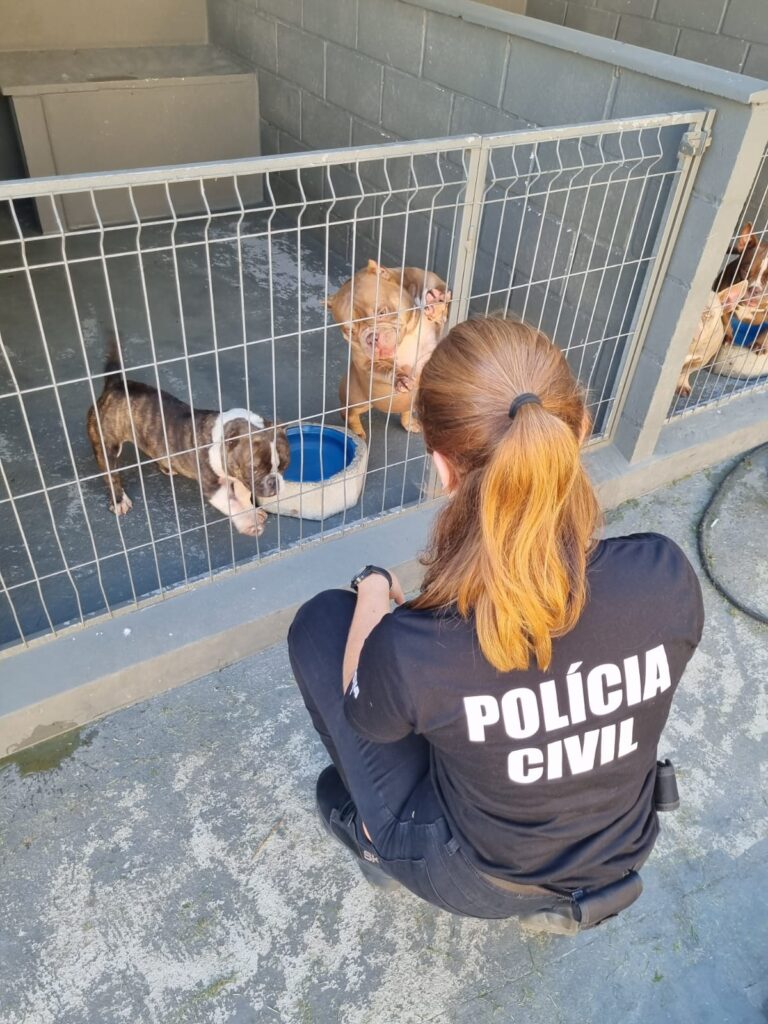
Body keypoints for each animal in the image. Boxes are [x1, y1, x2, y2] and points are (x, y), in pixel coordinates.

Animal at [84, 339, 288, 540]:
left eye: (284, 466)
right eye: (254, 469)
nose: (274, 482)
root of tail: (115, 384)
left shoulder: (239, 479)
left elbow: (243, 496)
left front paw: (253, 512)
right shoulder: (213, 486)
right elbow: (232, 504)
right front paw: (248, 522)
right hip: (107, 445)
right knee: (111, 475)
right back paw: (119, 500)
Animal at [325, 260, 450, 440]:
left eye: (382, 312)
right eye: (350, 331)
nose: (371, 338)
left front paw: (436, 303)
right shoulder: (366, 365)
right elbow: (384, 370)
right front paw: (400, 379)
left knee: (406, 409)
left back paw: (409, 423)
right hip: (358, 401)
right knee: (348, 414)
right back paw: (357, 433)